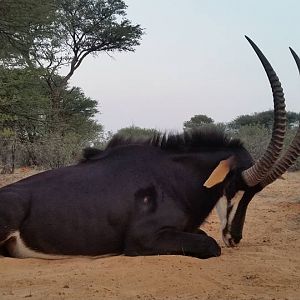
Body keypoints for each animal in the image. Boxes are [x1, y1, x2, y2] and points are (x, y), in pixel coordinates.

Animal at [0, 37, 298, 258]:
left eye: (254, 193)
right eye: (233, 186)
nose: (234, 238)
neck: (176, 179)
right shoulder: (141, 239)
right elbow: (210, 245)